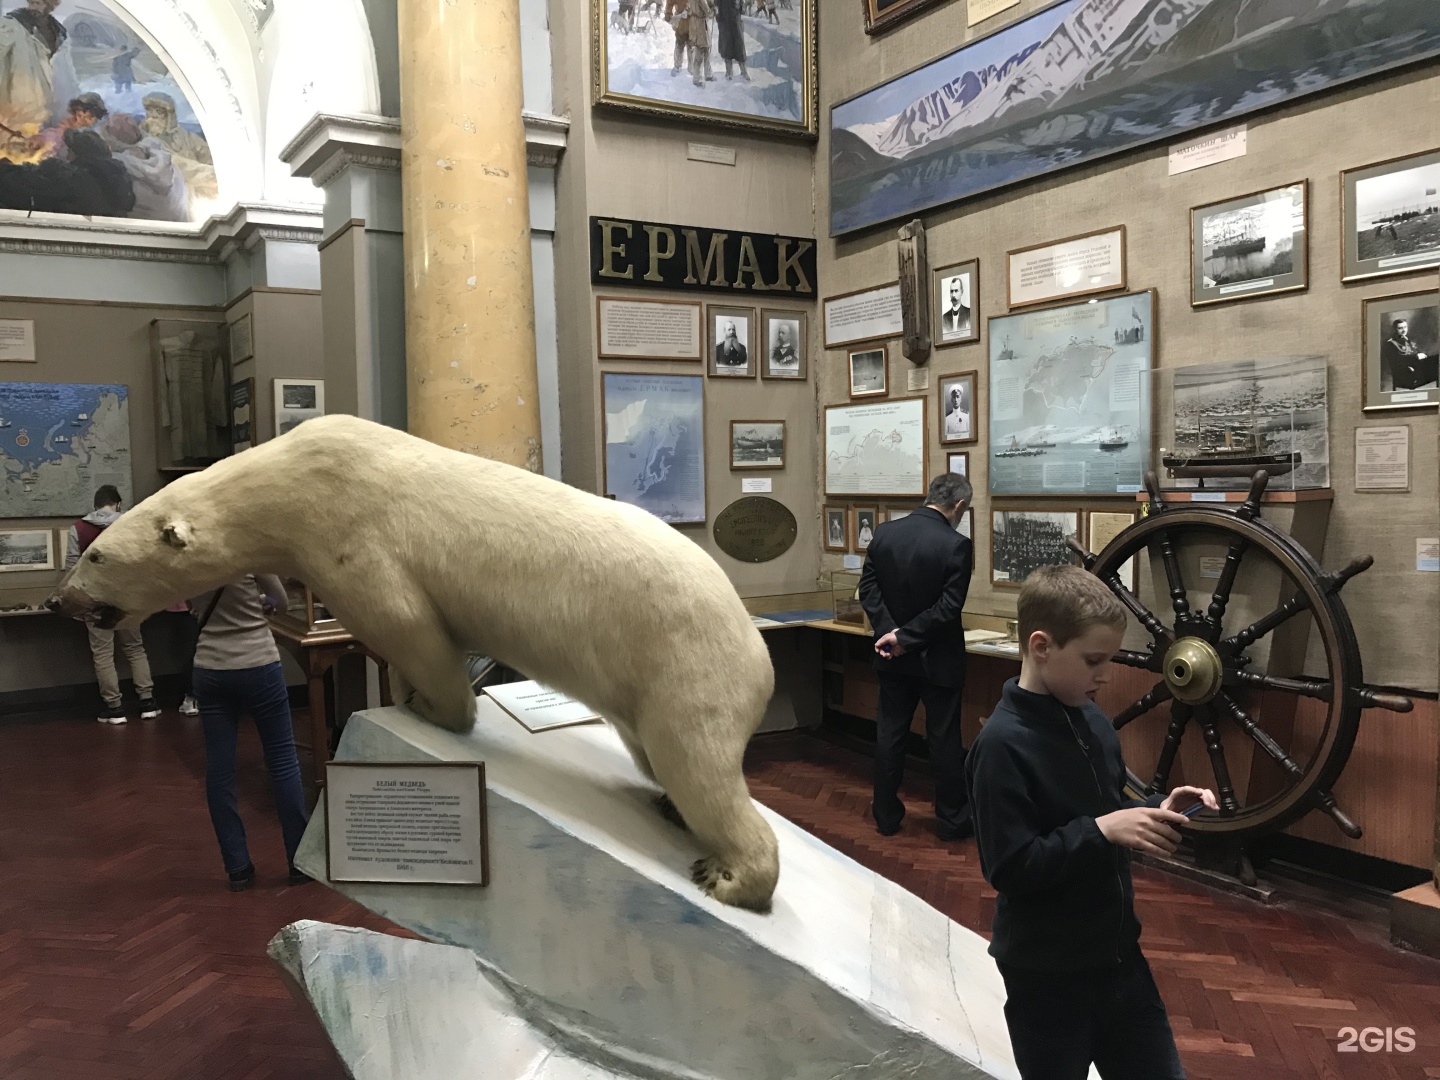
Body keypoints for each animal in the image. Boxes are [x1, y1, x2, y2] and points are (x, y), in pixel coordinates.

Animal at [53, 414, 777, 915]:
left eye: (96, 555)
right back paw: (671, 809)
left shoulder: (347, 537)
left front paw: (423, 706)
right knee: (658, 756)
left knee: (696, 760)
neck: (289, 480)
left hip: (683, 662)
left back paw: (728, 872)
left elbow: (410, 628)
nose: (62, 600)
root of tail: (759, 649)